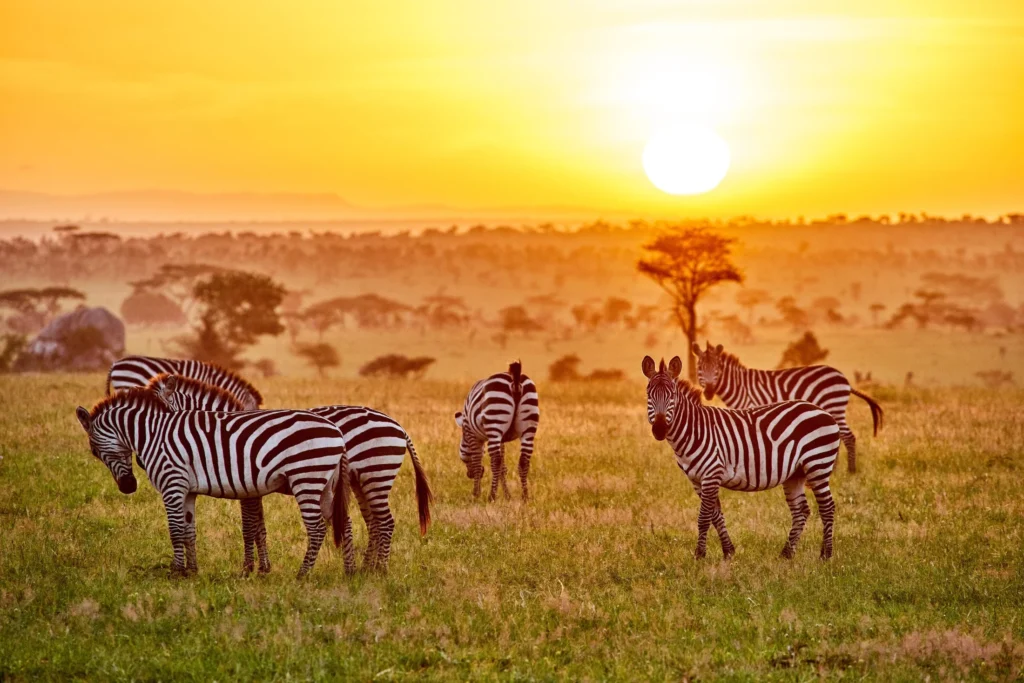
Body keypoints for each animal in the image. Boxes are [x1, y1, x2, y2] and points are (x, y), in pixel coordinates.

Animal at [75, 387, 356, 577]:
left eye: (95, 451)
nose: (128, 487)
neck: (153, 434)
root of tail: (336, 431)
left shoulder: (172, 483)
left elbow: (175, 530)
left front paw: (175, 572)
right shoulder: (187, 490)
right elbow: (188, 530)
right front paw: (191, 571)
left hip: (306, 478)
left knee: (317, 528)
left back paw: (302, 574)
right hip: (325, 484)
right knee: (340, 522)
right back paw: (348, 571)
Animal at [148, 373, 432, 573]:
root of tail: (397, 424)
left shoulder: (246, 485)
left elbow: (249, 526)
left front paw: (249, 569)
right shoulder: (251, 485)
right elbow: (259, 526)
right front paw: (263, 568)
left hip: (376, 475)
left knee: (385, 522)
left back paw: (380, 570)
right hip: (361, 481)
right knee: (373, 522)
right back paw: (366, 569)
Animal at [455, 361, 539, 501]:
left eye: (463, 458)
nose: (469, 475)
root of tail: (515, 381)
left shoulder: (472, 433)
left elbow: (477, 462)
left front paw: (476, 494)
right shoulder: (502, 439)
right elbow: (503, 468)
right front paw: (507, 495)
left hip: (495, 420)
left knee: (495, 461)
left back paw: (492, 496)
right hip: (528, 428)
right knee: (523, 461)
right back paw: (525, 496)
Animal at [643, 355, 841, 560]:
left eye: (672, 395)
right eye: (649, 394)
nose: (659, 429)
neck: (694, 430)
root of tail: (822, 411)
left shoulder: (711, 473)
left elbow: (704, 517)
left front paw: (699, 555)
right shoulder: (697, 480)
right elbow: (715, 515)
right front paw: (728, 551)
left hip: (818, 464)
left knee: (827, 507)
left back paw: (826, 555)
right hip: (796, 473)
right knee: (801, 511)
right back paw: (786, 554)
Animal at [692, 341, 883, 474]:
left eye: (717, 369)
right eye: (700, 368)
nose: (708, 392)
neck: (740, 385)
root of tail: (845, 380)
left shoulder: (750, 407)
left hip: (834, 407)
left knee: (848, 436)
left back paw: (850, 471)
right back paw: (833, 469)